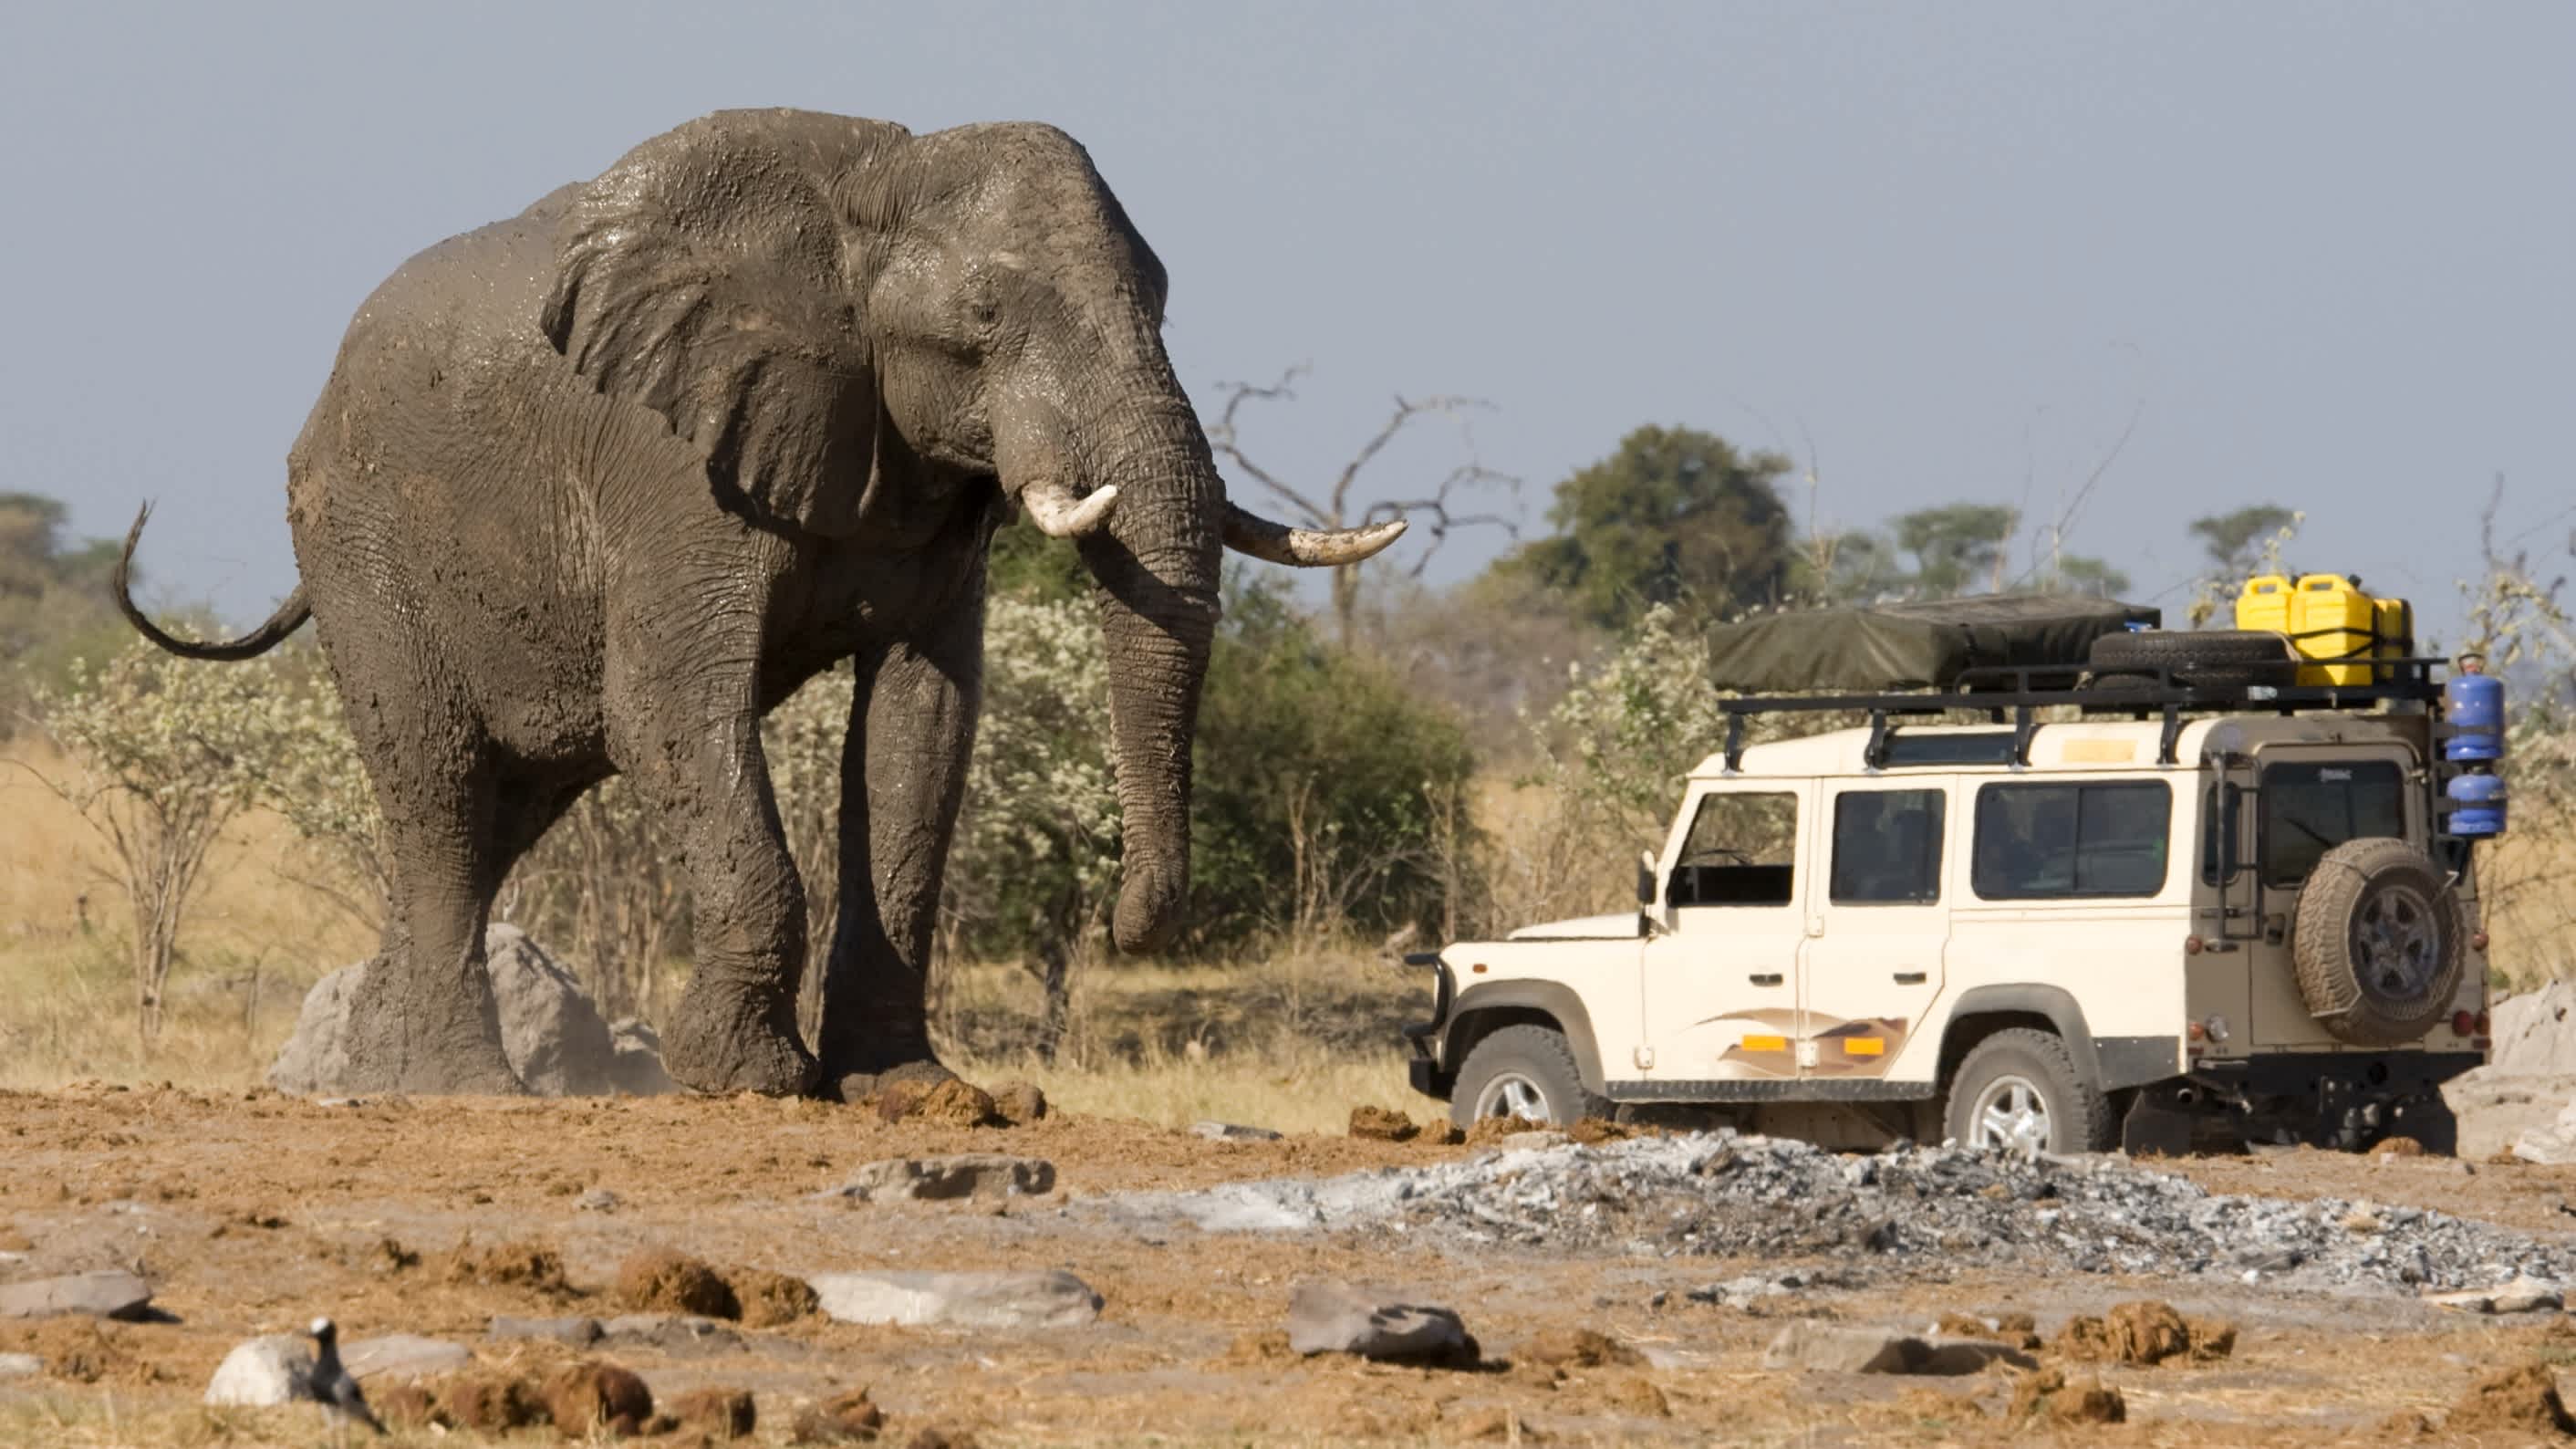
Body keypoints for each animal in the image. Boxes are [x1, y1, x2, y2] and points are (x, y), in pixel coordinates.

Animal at [116, 109, 1411, 1093]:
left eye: (1162, 299)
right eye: (986, 319)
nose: (1125, 925)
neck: (862, 196)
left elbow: (920, 730)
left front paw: (907, 1088)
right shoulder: (666, 460)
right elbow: (670, 710)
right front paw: (746, 1077)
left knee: (500, 810)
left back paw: (371, 1073)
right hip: (360, 539)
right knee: (439, 787)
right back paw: (459, 1088)